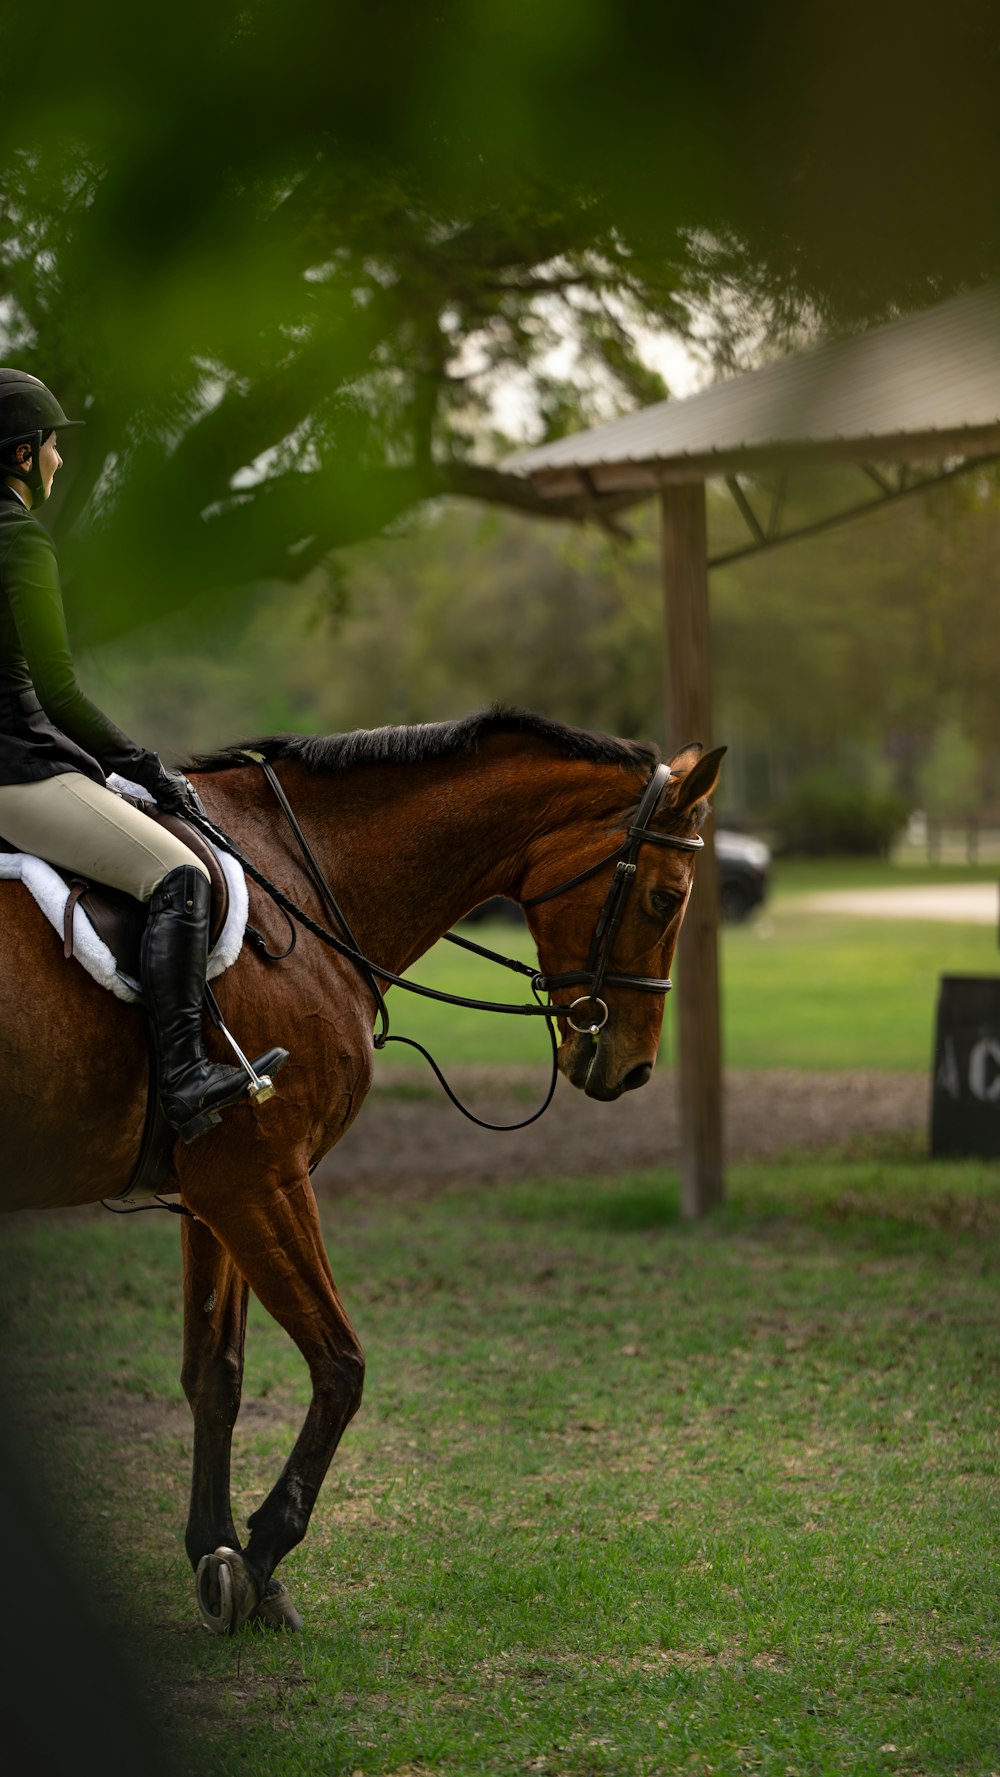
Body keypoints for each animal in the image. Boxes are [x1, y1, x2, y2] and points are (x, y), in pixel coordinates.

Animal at [0, 707, 721, 1634]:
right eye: (667, 897)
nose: (630, 1067)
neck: (301, 884)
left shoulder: (213, 1194)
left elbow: (215, 1372)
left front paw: (218, 1553)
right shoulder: (260, 1177)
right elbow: (341, 1365)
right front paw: (262, 1550)